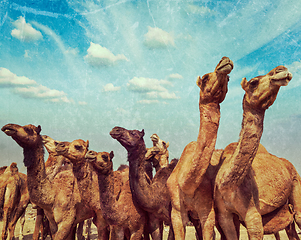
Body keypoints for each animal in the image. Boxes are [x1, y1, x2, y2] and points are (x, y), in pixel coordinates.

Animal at [165, 55, 233, 240]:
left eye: (229, 79)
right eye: (205, 78)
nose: (225, 61)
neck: (186, 183)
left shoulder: (207, 210)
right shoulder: (176, 211)